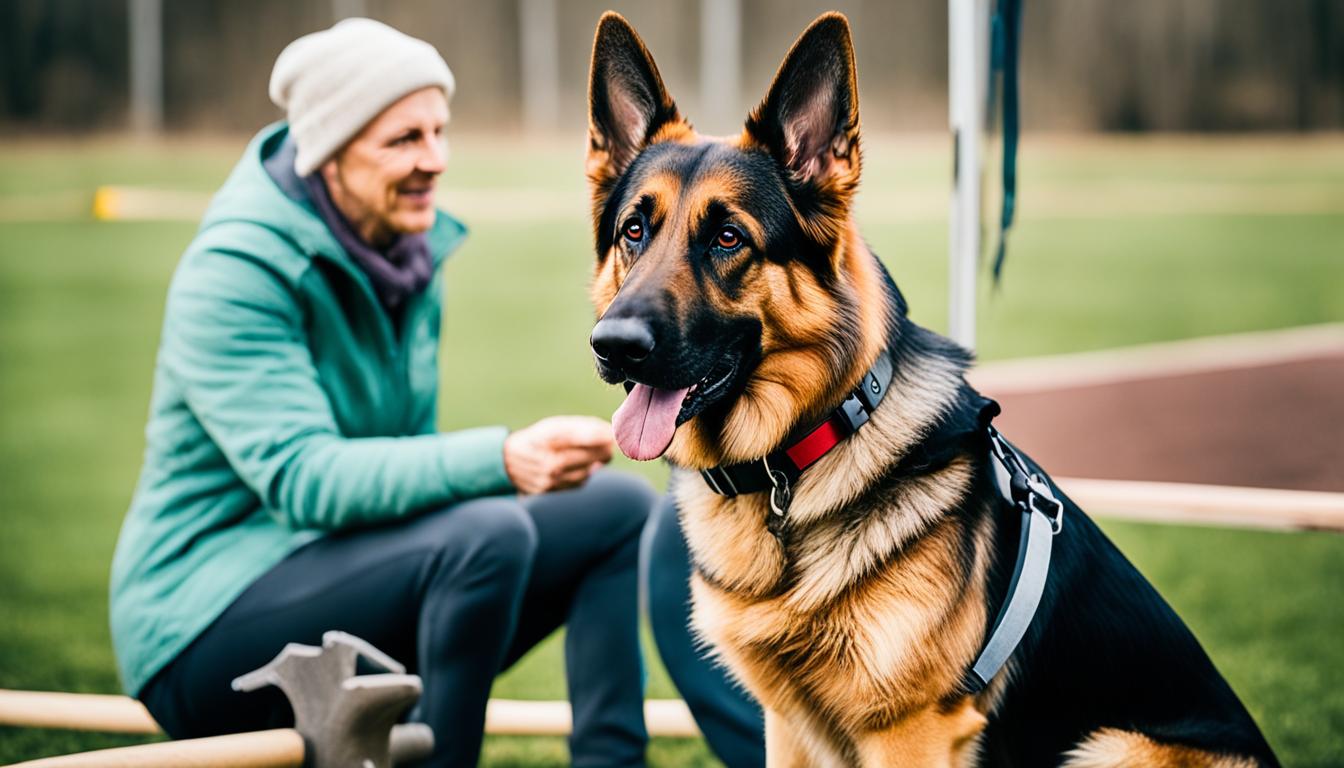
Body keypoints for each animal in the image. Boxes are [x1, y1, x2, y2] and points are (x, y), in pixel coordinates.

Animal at [583, 12, 1274, 768]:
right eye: (634, 231)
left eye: (729, 238)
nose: (612, 346)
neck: (803, 458)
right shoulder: (787, 727)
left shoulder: (911, 730)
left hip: (1111, 745)